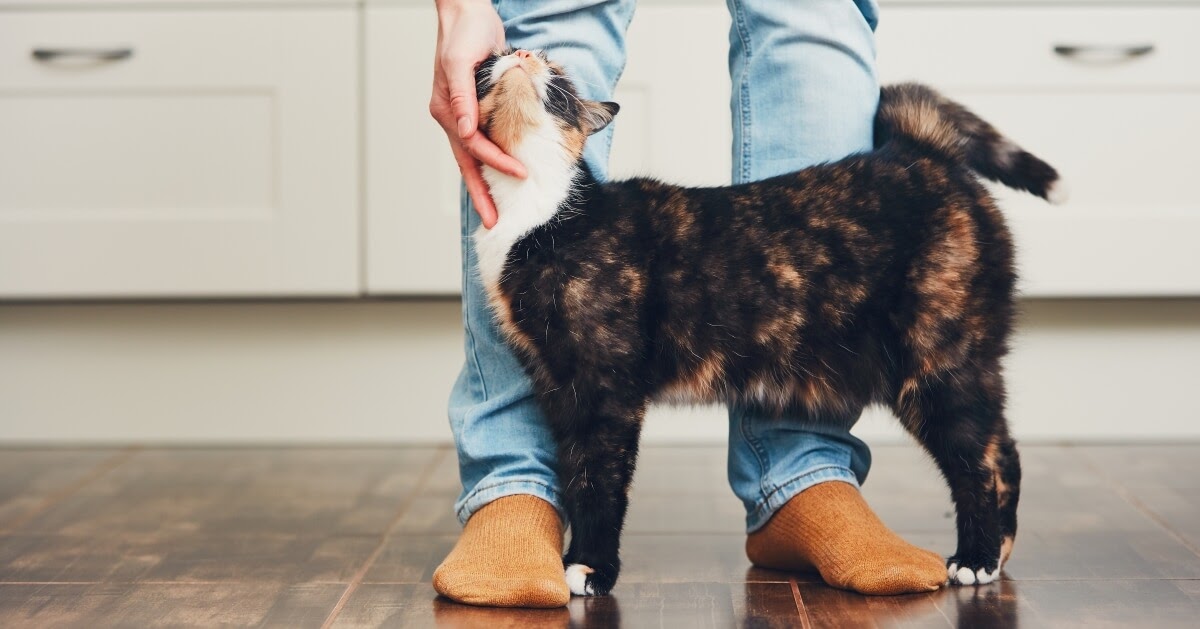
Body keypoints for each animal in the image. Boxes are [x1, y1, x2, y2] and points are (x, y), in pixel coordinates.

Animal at [468, 48, 1060, 595]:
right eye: (495, 59)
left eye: (558, 76)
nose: (522, 52)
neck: (538, 212)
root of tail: (919, 152)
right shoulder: (558, 386)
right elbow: (575, 474)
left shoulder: (605, 389)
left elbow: (600, 481)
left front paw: (591, 567)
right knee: (1003, 449)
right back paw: (999, 551)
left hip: (938, 363)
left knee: (978, 460)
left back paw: (976, 558)